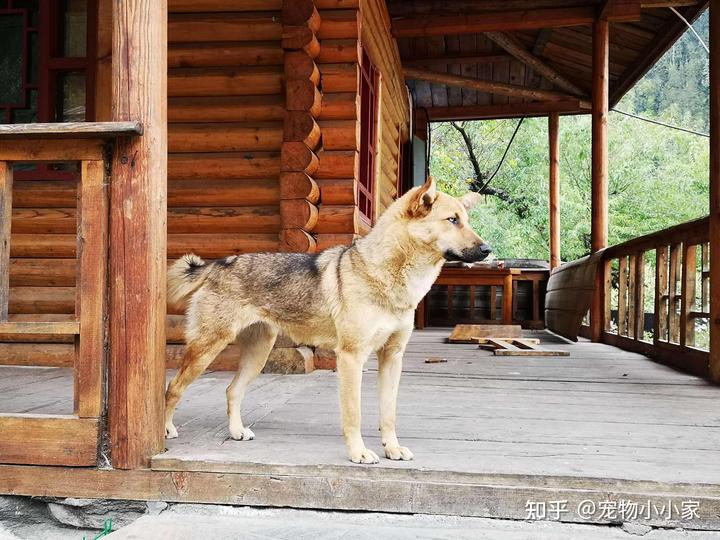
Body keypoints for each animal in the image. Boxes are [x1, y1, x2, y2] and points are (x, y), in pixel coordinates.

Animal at [166, 177, 492, 464]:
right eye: (452, 220)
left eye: (466, 220)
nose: (488, 249)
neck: (387, 275)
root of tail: (219, 263)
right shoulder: (351, 358)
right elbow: (354, 414)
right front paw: (359, 453)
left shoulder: (392, 357)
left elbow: (388, 414)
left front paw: (392, 449)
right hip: (206, 350)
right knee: (173, 389)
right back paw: (166, 430)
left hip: (257, 354)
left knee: (232, 391)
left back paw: (235, 432)